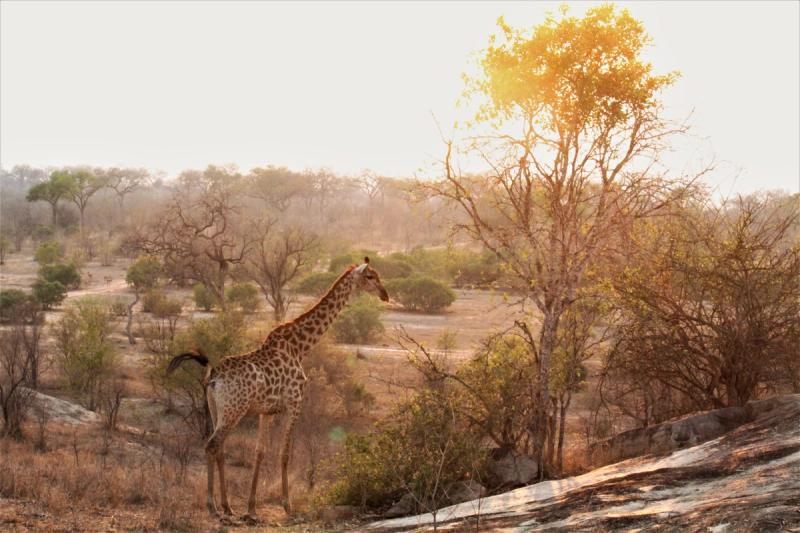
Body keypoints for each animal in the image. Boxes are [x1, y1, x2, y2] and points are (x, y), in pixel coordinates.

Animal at [166, 257, 389, 522]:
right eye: (370, 277)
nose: (385, 295)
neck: (300, 347)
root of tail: (213, 376)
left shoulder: (266, 411)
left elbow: (259, 452)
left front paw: (251, 509)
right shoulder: (295, 402)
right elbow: (285, 453)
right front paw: (287, 505)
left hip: (215, 409)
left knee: (219, 448)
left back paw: (228, 507)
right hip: (234, 410)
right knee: (212, 445)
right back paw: (213, 508)